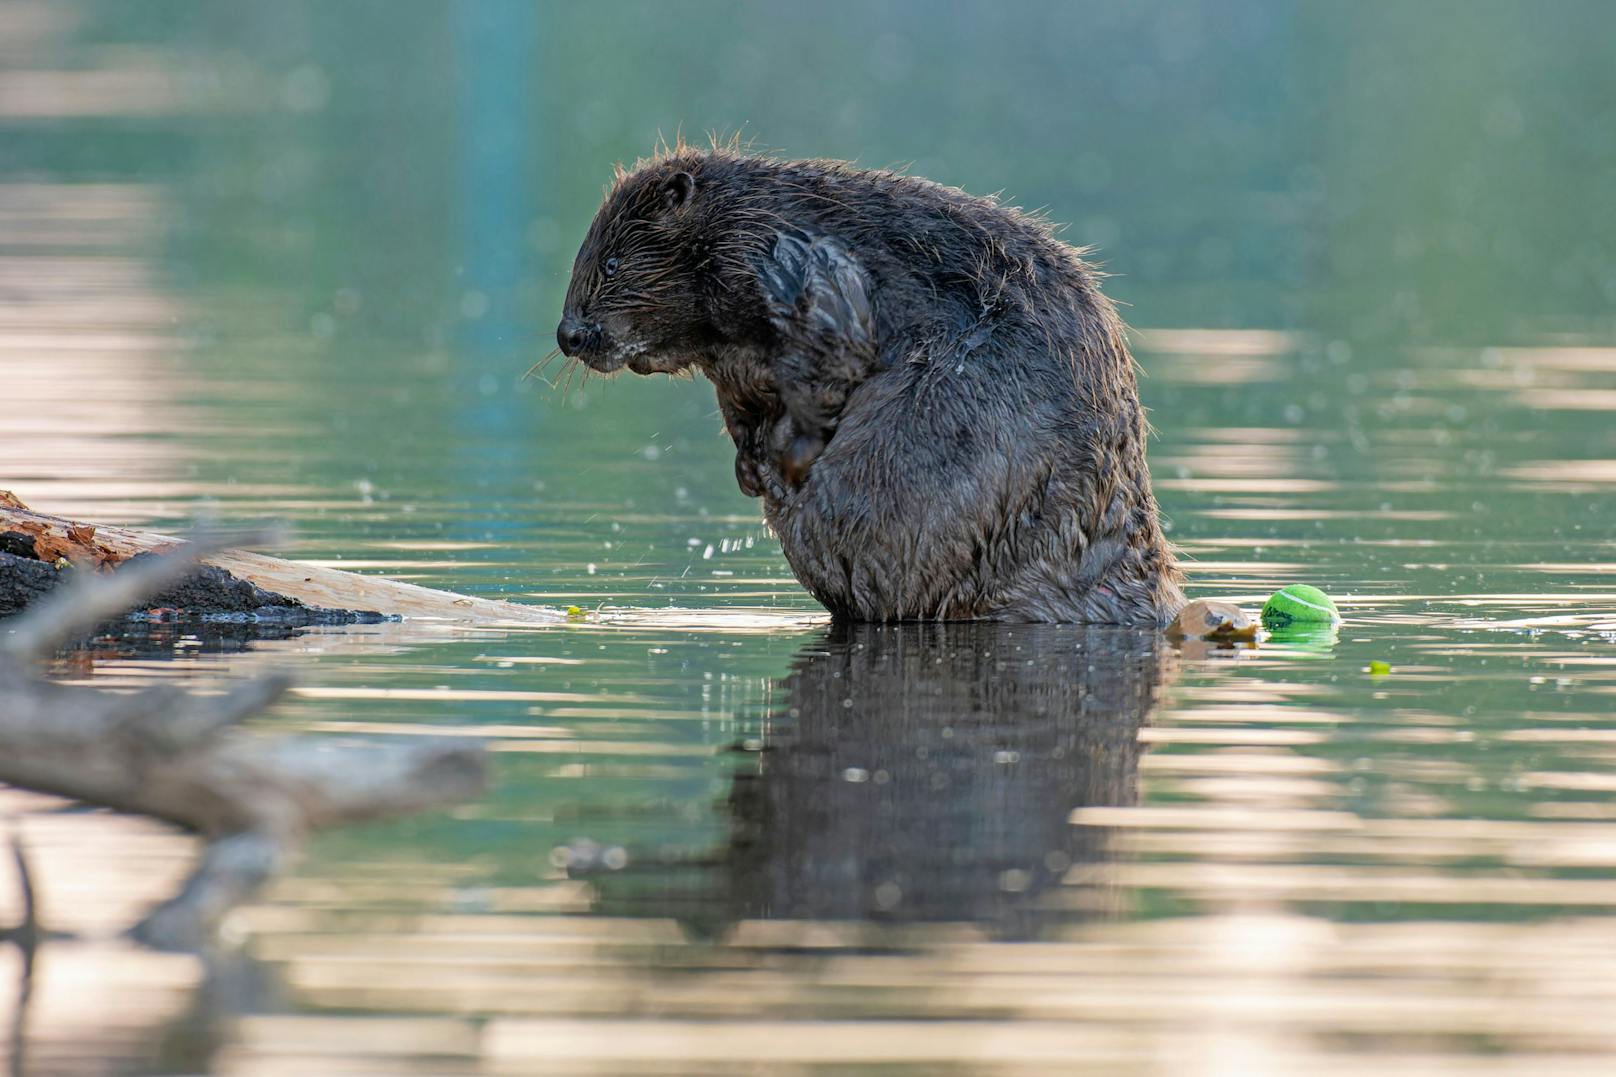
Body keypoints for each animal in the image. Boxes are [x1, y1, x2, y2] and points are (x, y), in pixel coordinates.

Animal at [555, 147, 1189, 624]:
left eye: (611, 264)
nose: (569, 335)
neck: (746, 214)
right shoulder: (732, 360)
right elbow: (745, 400)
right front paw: (747, 466)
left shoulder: (780, 257)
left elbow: (835, 347)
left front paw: (782, 463)